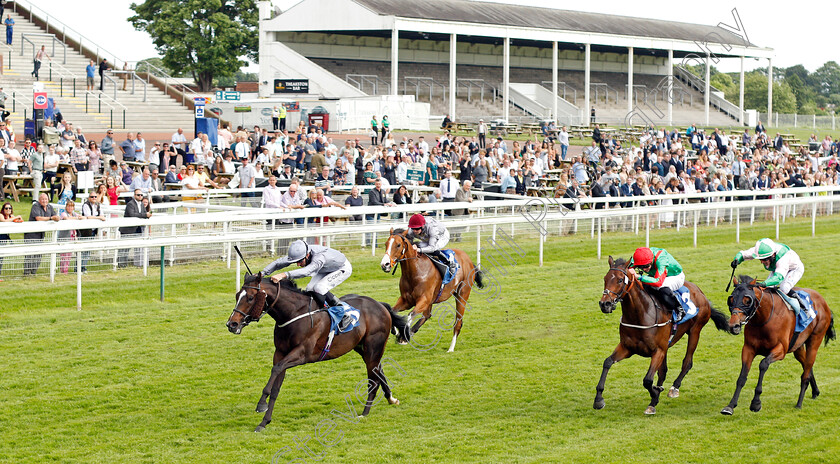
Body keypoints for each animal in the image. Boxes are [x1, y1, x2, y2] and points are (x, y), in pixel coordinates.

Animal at [223, 272, 406, 432]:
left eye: (250, 297)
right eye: (237, 295)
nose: (232, 324)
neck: (294, 313)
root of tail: (381, 305)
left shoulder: (302, 354)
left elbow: (276, 370)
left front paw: (261, 404)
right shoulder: (280, 353)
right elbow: (276, 386)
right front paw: (264, 422)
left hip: (373, 348)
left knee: (373, 380)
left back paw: (365, 412)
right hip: (363, 348)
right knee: (379, 371)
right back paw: (391, 399)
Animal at [596, 258, 728, 414]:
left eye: (620, 280)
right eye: (605, 279)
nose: (605, 304)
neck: (640, 315)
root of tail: (700, 292)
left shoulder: (658, 350)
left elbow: (647, 380)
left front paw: (654, 396)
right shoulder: (627, 348)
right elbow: (607, 362)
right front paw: (598, 399)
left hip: (695, 332)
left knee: (687, 362)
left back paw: (674, 388)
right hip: (667, 345)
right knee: (663, 371)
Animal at [720, 278, 836, 416]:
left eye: (747, 300)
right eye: (731, 299)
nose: (734, 326)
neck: (764, 319)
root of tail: (824, 302)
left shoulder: (780, 350)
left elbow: (763, 364)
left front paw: (756, 403)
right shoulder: (748, 349)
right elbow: (742, 377)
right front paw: (730, 406)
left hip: (814, 341)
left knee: (806, 373)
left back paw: (799, 403)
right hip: (798, 347)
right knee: (807, 366)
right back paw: (815, 391)